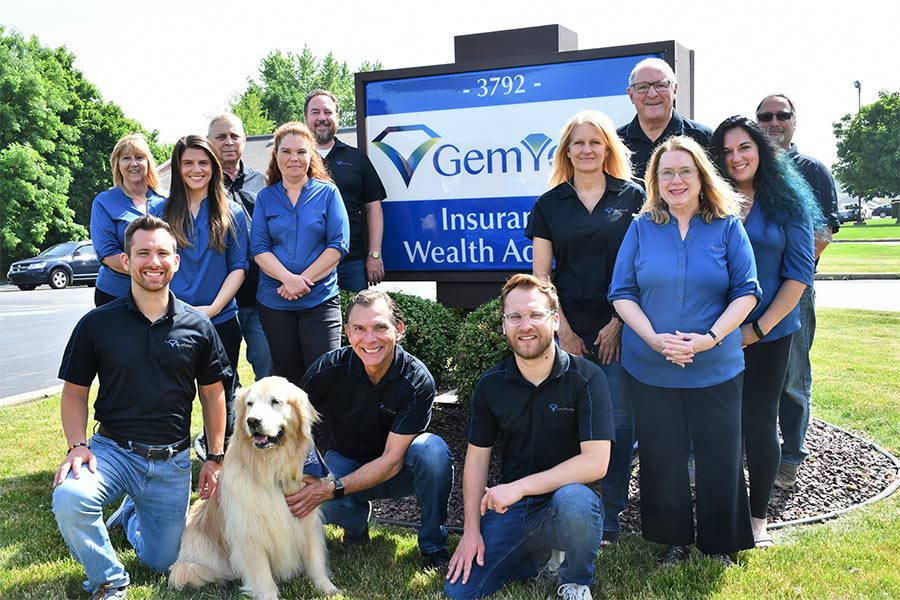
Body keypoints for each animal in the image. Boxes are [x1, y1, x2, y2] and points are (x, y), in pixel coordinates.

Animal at [169, 378, 338, 596]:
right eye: (249, 404)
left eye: (275, 401)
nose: (253, 421)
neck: (271, 468)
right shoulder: (250, 533)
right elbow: (261, 573)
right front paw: (268, 595)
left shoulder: (308, 520)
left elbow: (315, 559)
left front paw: (327, 587)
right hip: (192, 564)